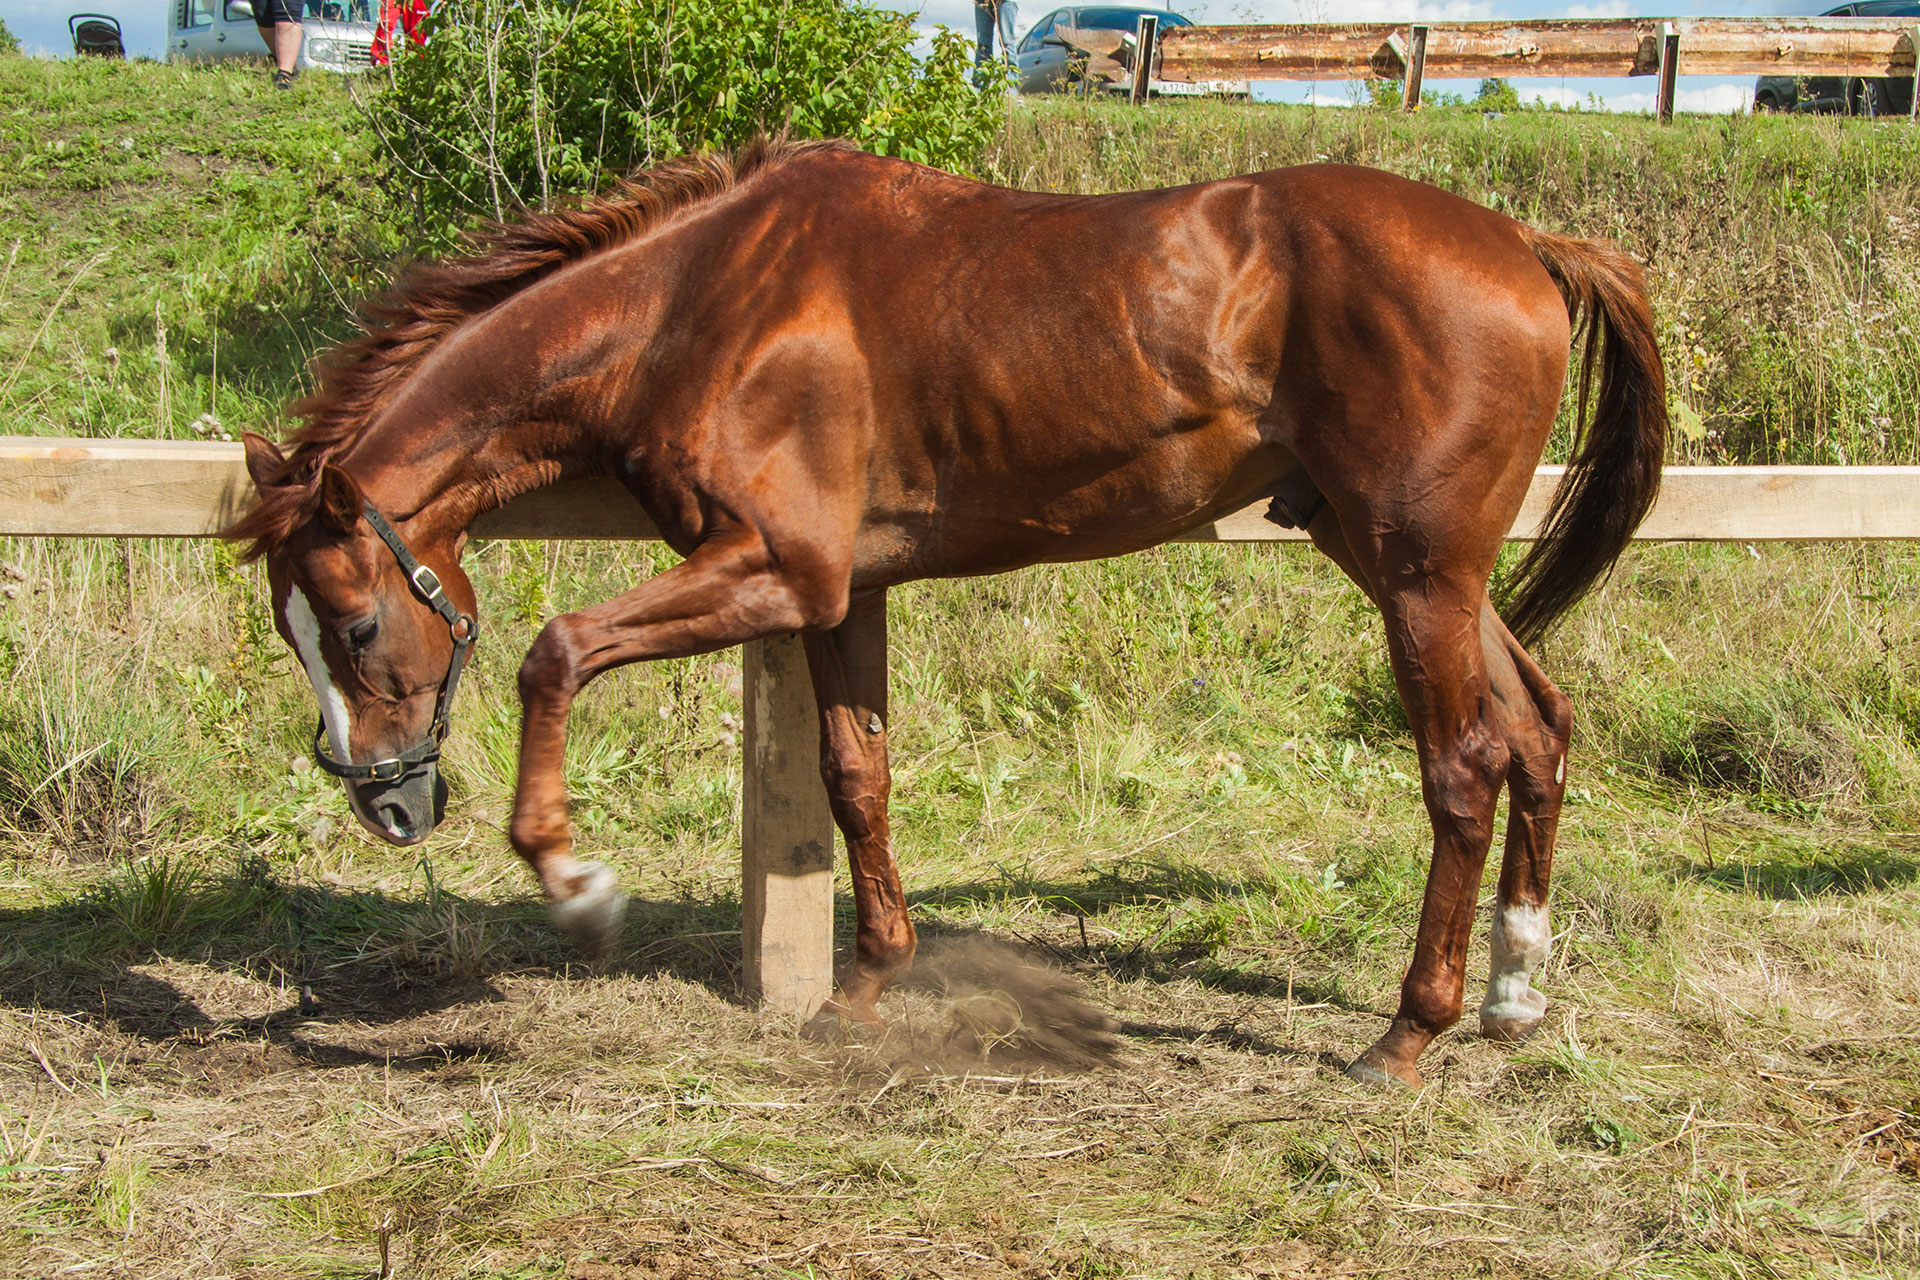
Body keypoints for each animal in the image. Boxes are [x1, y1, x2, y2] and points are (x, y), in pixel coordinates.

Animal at [225, 137, 1665, 1089]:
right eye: (294, 631)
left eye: (354, 628)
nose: (387, 802)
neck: (699, 299)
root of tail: (1528, 247)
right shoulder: (841, 590)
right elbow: (854, 773)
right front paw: (868, 984)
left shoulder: (777, 569)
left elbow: (555, 652)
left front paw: (574, 881)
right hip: (1414, 567)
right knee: (1538, 730)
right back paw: (1515, 991)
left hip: (1416, 576)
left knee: (1464, 767)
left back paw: (1408, 1032)